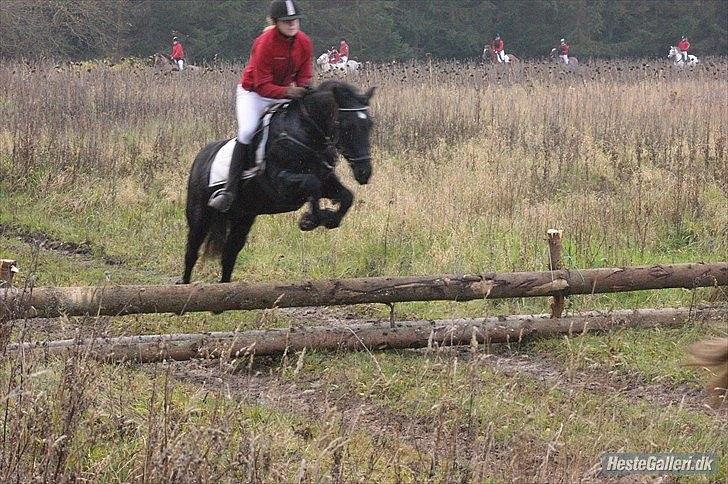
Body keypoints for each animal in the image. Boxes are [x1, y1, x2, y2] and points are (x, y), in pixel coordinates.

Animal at [182, 80, 376, 284]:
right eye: (347, 126)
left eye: (369, 125)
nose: (364, 173)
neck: (305, 132)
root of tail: (200, 158)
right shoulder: (281, 184)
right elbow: (312, 184)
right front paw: (311, 220)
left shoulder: (326, 182)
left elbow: (346, 196)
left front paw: (329, 219)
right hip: (200, 217)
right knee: (191, 254)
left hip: (243, 217)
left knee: (229, 254)